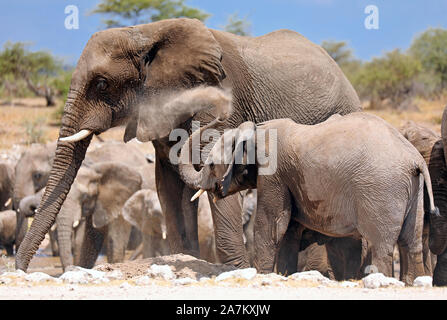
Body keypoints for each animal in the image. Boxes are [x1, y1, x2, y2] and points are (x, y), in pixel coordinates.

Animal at [16, 18, 364, 272]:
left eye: (101, 84)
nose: (19, 268)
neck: (147, 33)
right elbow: (168, 186)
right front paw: (187, 258)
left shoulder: (223, 96)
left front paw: (236, 269)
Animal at [184, 114, 440, 284]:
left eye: (211, 165)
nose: (217, 118)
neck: (257, 130)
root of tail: (414, 159)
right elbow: (288, 231)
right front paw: (284, 275)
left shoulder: (274, 174)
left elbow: (271, 226)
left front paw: (263, 276)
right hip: (414, 190)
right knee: (411, 244)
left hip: (381, 189)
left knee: (381, 245)